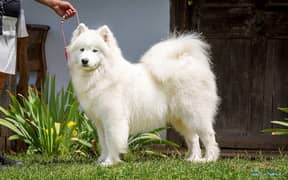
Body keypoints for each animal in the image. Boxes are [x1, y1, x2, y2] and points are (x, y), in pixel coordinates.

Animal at [68, 23, 220, 166]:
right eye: (82, 49)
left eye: (95, 50)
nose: (84, 60)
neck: (101, 76)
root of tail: (188, 60)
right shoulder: (100, 121)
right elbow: (103, 142)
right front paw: (101, 160)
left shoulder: (113, 119)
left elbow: (112, 141)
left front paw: (110, 162)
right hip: (181, 118)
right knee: (193, 138)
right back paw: (193, 158)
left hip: (195, 113)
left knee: (208, 136)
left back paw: (209, 159)